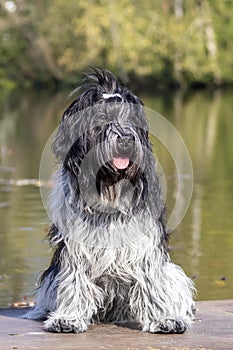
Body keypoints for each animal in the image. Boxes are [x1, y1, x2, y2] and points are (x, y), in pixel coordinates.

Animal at [26, 67, 195, 334]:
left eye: (132, 120)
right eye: (102, 119)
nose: (125, 139)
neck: (110, 185)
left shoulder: (145, 240)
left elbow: (151, 278)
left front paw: (163, 318)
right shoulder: (76, 245)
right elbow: (75, 279)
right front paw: (69, 318)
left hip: (174, 274)